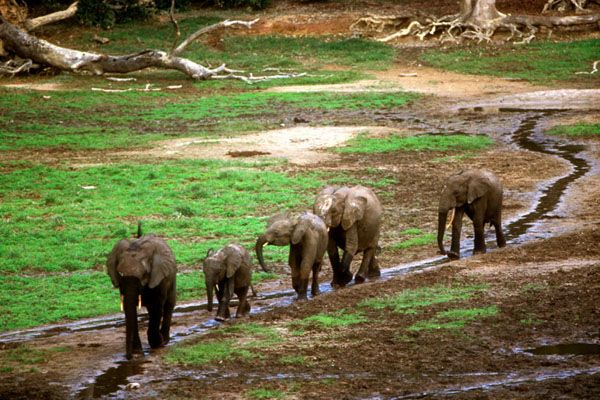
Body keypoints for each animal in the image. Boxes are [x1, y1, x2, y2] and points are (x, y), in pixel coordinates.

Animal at [106, 231, 177, 360]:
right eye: (119, 273)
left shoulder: (158, 278)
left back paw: (165, 340)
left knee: (169, 304)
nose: (128, 357)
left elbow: (157, 308)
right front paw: (138, 353)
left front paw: (157, 342)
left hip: (171, 277)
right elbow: (130, 309)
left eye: (144, 274)